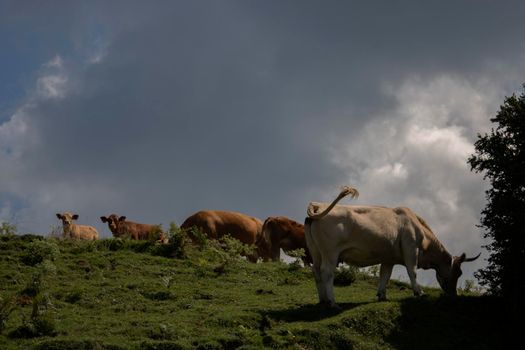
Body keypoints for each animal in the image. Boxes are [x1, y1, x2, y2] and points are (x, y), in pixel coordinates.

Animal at [304, 186, 482, 306]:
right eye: (458, 272)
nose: (454, 295)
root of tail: (318, 205)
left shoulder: (388, 258)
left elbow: (385, 276)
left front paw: (382, 295)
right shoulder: (411, 248)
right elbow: (412, 271)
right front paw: (419, 292)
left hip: (316, 252)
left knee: (316, 272)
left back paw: (323, 300)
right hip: (331, 253)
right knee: (327, 273)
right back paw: (332, 302)